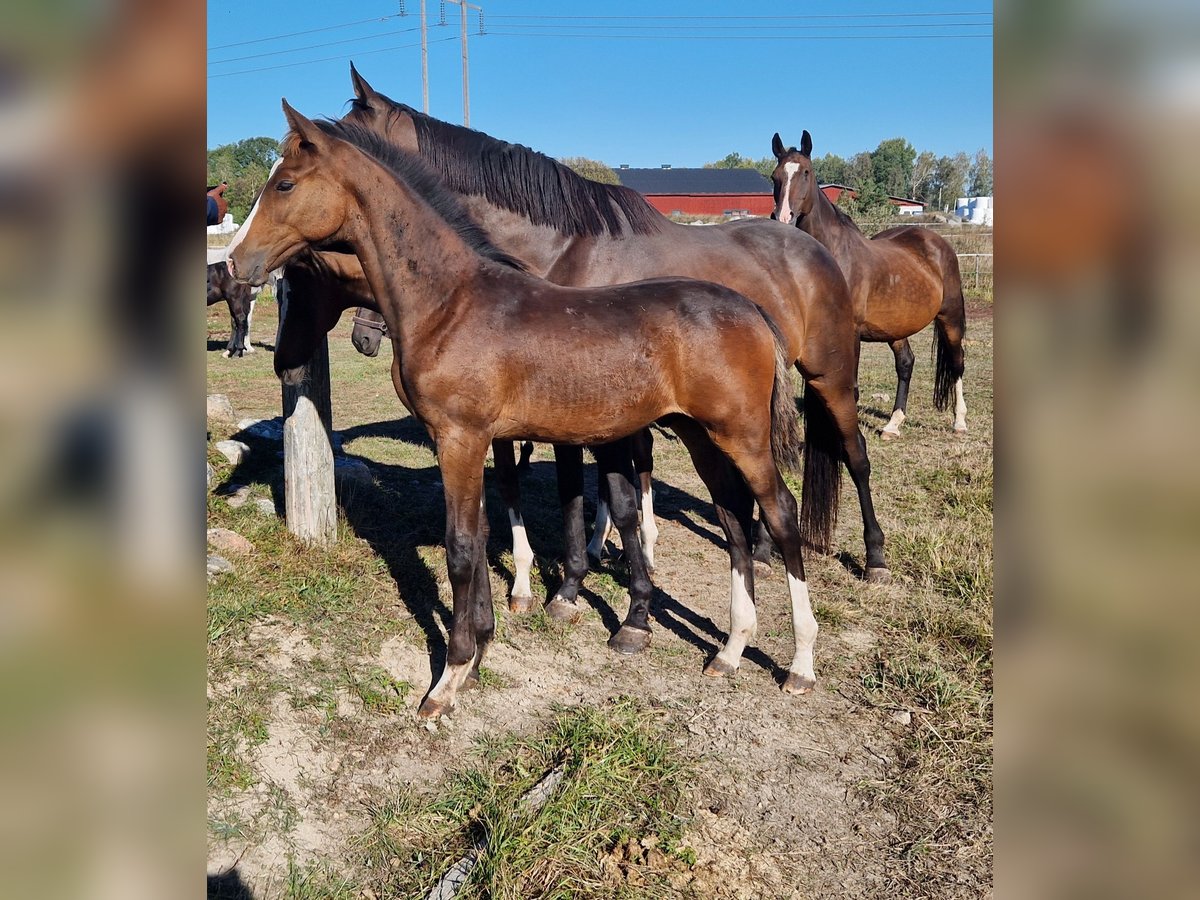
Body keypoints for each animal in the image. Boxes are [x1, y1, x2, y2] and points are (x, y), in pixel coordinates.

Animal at [229, 105, 820, 724]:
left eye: (285, 184)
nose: (235, 261)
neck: (449, 302)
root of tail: (753, 309)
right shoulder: (473, 439)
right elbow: (485, 528)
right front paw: (482, 651)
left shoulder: (460, 437)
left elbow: (462, 549)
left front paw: (449, 678)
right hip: (702, 434)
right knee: (732, 517)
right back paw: (730, 651)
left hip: (743, 435)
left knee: (778, 515)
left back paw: (800, 665)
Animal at [772, 131, 969, 441]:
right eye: (775, 176)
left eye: (806, 172)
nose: (783, 218)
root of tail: (937, 242)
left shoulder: (851, 333)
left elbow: (849, 390)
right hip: (897, 327)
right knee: (906, 364)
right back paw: (893, 425)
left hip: (950, 317)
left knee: (957, 362)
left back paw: (959, 421)